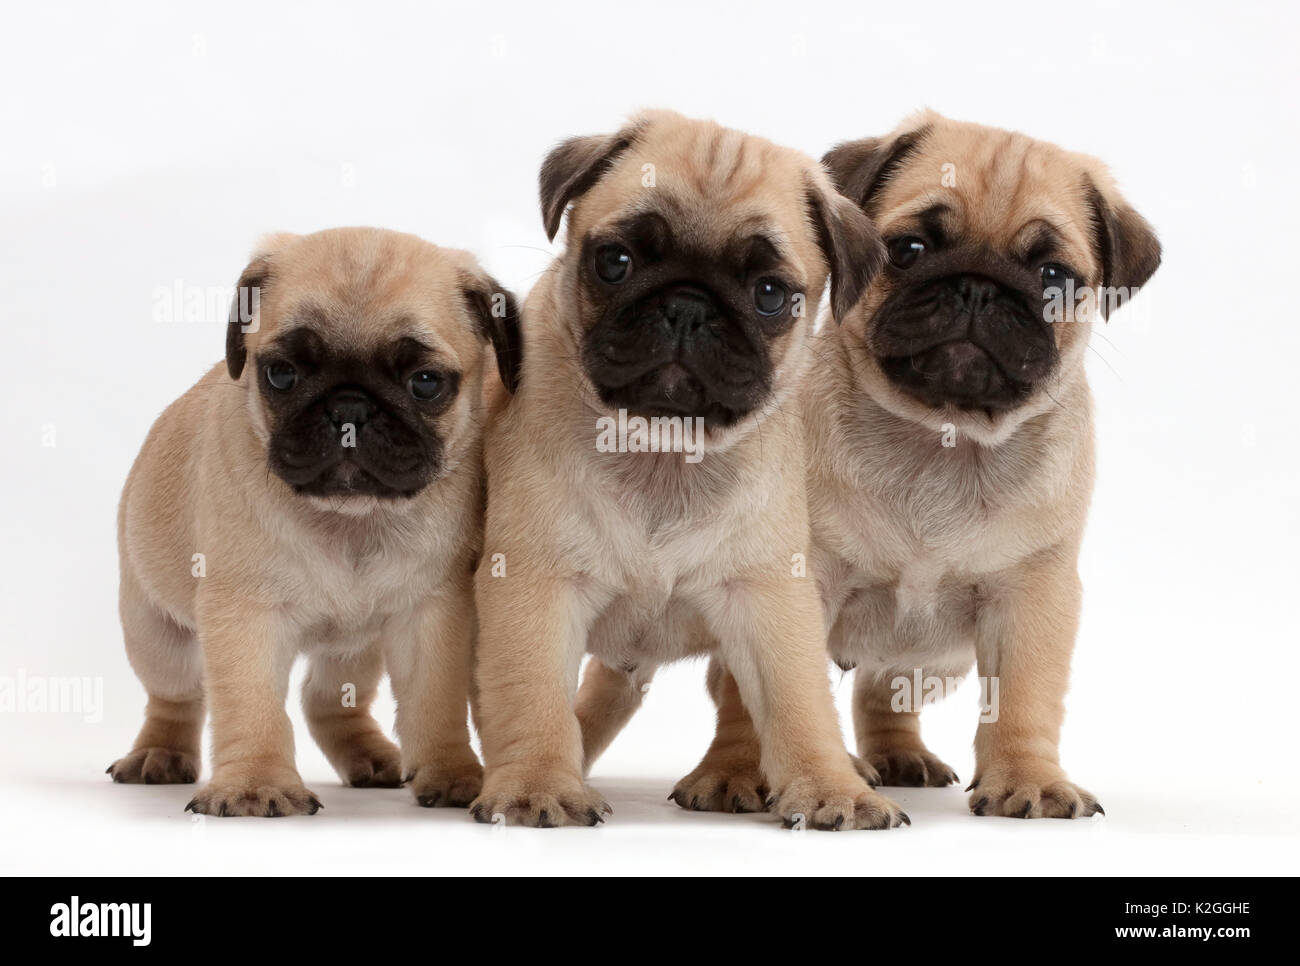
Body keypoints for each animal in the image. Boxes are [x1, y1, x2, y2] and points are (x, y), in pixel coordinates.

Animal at [107, 226, 522, 816]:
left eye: (425, 383)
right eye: (281, 374)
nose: (349, 408)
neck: (349, 521)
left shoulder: (433, 615)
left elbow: (435, 703)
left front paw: (452, 771)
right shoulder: (246, 615)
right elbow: (251, 704)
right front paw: (255, 783)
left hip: (354, 649)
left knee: (325, 699)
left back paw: (371, 756)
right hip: (154, 628)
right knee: (175, 695)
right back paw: (159, 754)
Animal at [467, 109, 904, 826]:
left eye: (769, 294)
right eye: (614, 261)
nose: (688, 306)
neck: (663, 453)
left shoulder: (768, 600)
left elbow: (798, 704)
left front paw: (830, 787)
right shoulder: (536, 585)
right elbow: (531, 695)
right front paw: (536, 783)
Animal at [577, 113, 1159, 821]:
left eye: (1055, 276)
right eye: (906, 250)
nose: (976, 286)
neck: (942, 439)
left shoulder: (1033, 594)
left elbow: (1024, 697)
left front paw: (1029, 778)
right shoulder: (798, 584)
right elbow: (755, 693)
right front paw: (738, 772)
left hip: (934, 662)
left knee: (881, 688)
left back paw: (894, 756)